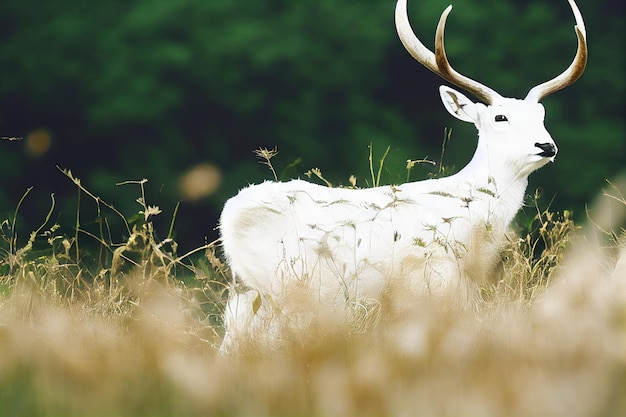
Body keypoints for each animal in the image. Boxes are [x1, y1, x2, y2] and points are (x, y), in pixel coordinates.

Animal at [218, 0, 584, 352]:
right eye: (500, 117)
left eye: (541, 115)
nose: (546, 145)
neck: (472, 214)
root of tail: (230, 214)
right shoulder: (433, 279)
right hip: (286, 285)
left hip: (246, 292)